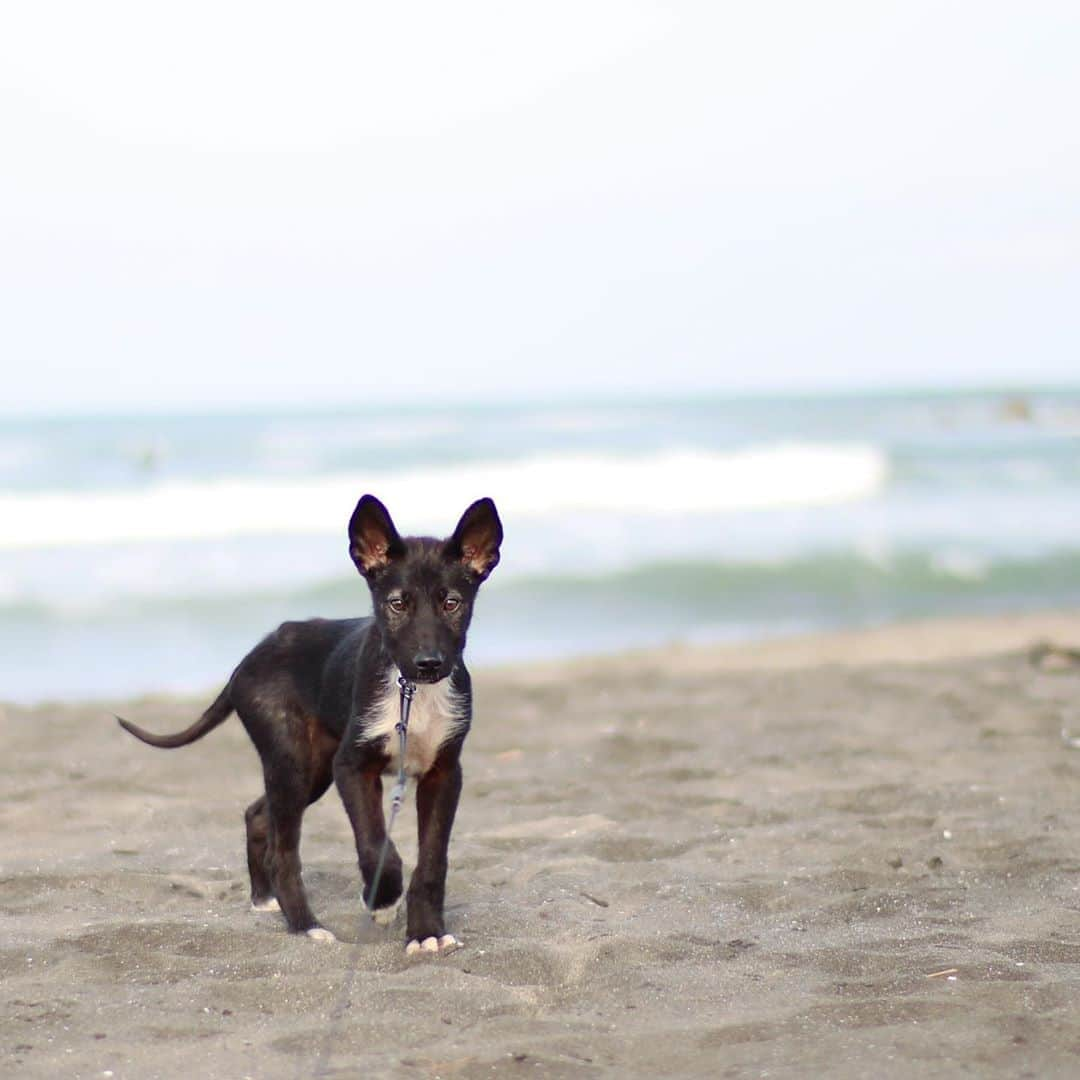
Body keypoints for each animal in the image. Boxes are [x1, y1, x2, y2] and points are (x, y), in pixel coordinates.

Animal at [118, 494, 501, 950]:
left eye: (451, 603)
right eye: (397, 603)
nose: (429, 663)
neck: (412, 692)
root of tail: (249, 658)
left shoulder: (444, 772)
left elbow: (432, 861)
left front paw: (426, 932)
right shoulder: (352, 765)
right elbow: (376, 845)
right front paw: (382, 900)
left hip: (313, 766)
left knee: (258, 815)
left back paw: (264, 899)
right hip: (294, 758)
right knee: (283, 852)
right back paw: (304, 923)